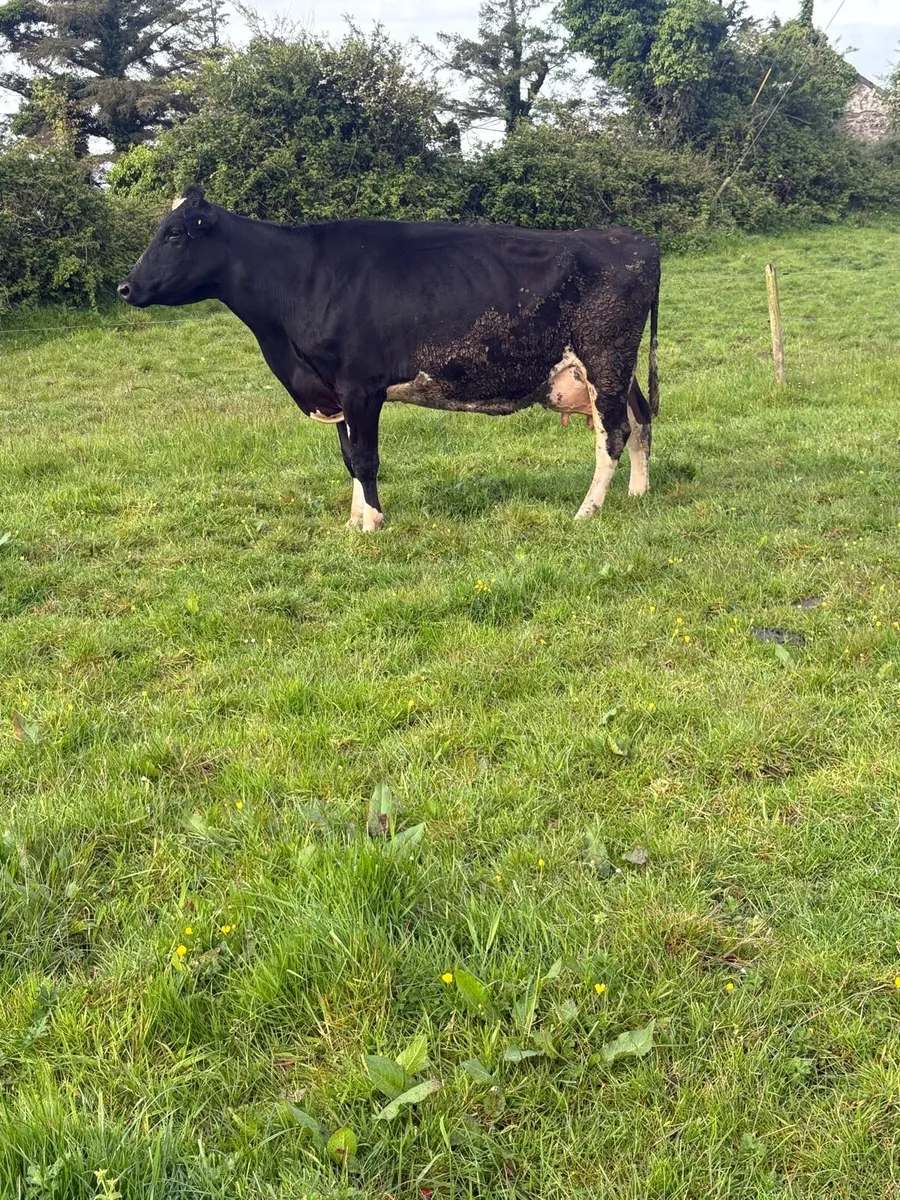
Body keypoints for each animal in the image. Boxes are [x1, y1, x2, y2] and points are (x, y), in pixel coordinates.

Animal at [118, 186, 660, 532]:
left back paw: (586, 512)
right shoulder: (334, 388)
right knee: (640, 418)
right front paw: (354, 519)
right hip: (620, 367)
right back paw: (638, 493)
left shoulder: (361, 386)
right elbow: (348, 458)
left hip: (604, 359)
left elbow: (366, 458)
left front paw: (372, 523)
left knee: (613, 433)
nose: (125, 287)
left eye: (174, 233)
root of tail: (632, 237)